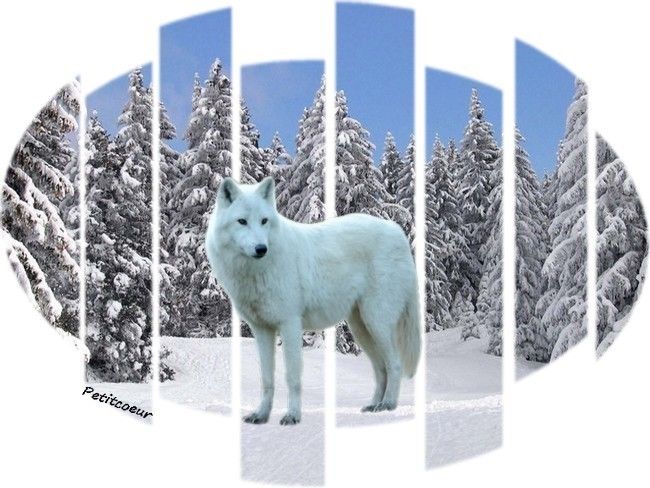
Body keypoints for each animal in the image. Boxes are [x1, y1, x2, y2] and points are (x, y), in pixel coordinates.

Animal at [205, 177, 421, 425]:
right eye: (242, 221)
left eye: (263, 221)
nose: (261, 249)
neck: (254, 272)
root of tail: (398, 231)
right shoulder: (261, 330)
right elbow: (267, 379)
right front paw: (261, 415)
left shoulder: (289, 324)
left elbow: (292, 376)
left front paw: (292, 416)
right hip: (361, 329)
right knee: (380, 369)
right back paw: (374, 405)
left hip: (377, 323)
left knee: (394, 365)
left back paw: (389, 404)